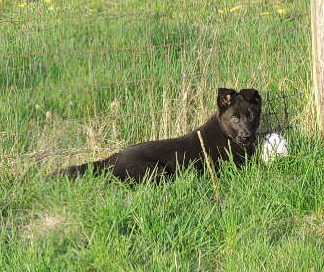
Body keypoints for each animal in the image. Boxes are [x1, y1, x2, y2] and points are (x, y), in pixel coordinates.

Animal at [52, 88, 260, 183]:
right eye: (234, 118)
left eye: (251, 115)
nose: (247, 136)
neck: (226, 136)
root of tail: (108, 160)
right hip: (154, 171)